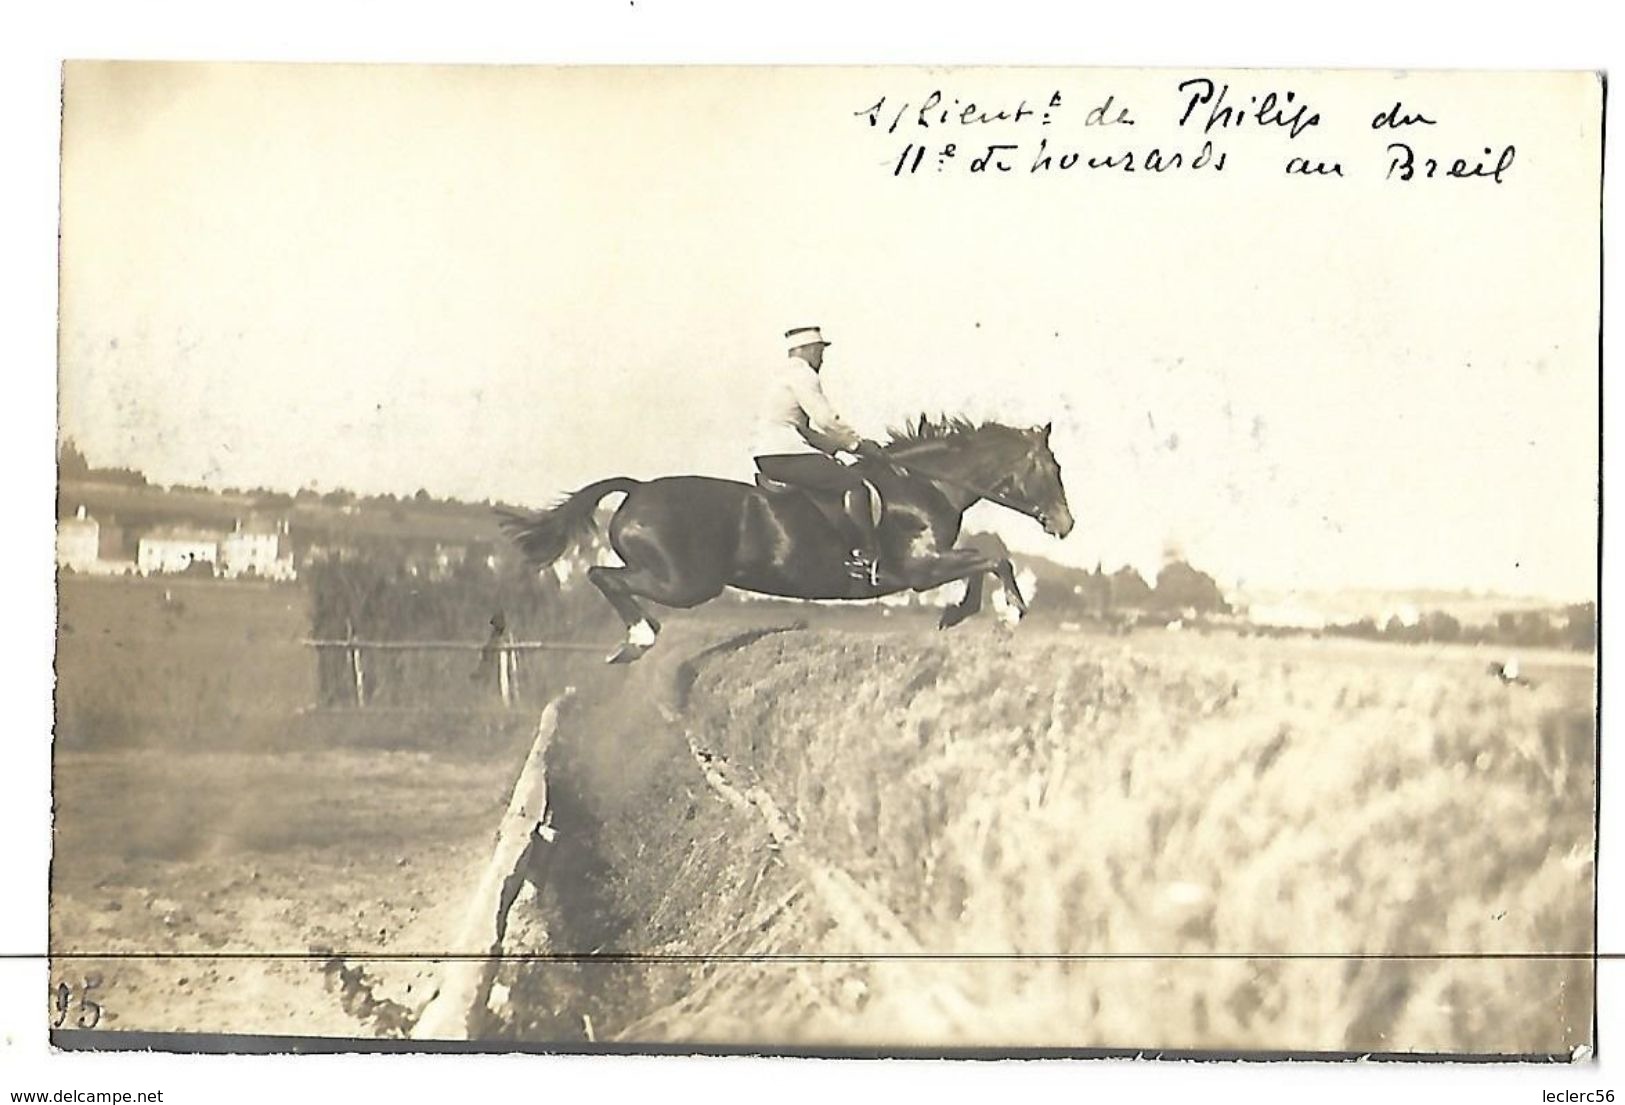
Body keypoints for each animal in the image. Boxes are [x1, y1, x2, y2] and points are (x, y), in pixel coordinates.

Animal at [500, 412, 1072, 656]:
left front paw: (961, 614)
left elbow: (985, 560)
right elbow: (993, 557)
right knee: (605, 575)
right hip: (685, 583)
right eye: (1052, 468)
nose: (1066, 525)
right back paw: (639, 636)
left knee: (608, 576)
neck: (925, 483)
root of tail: (638, 489)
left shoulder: (932, 564)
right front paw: (1008, 613)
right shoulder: (918, 567)